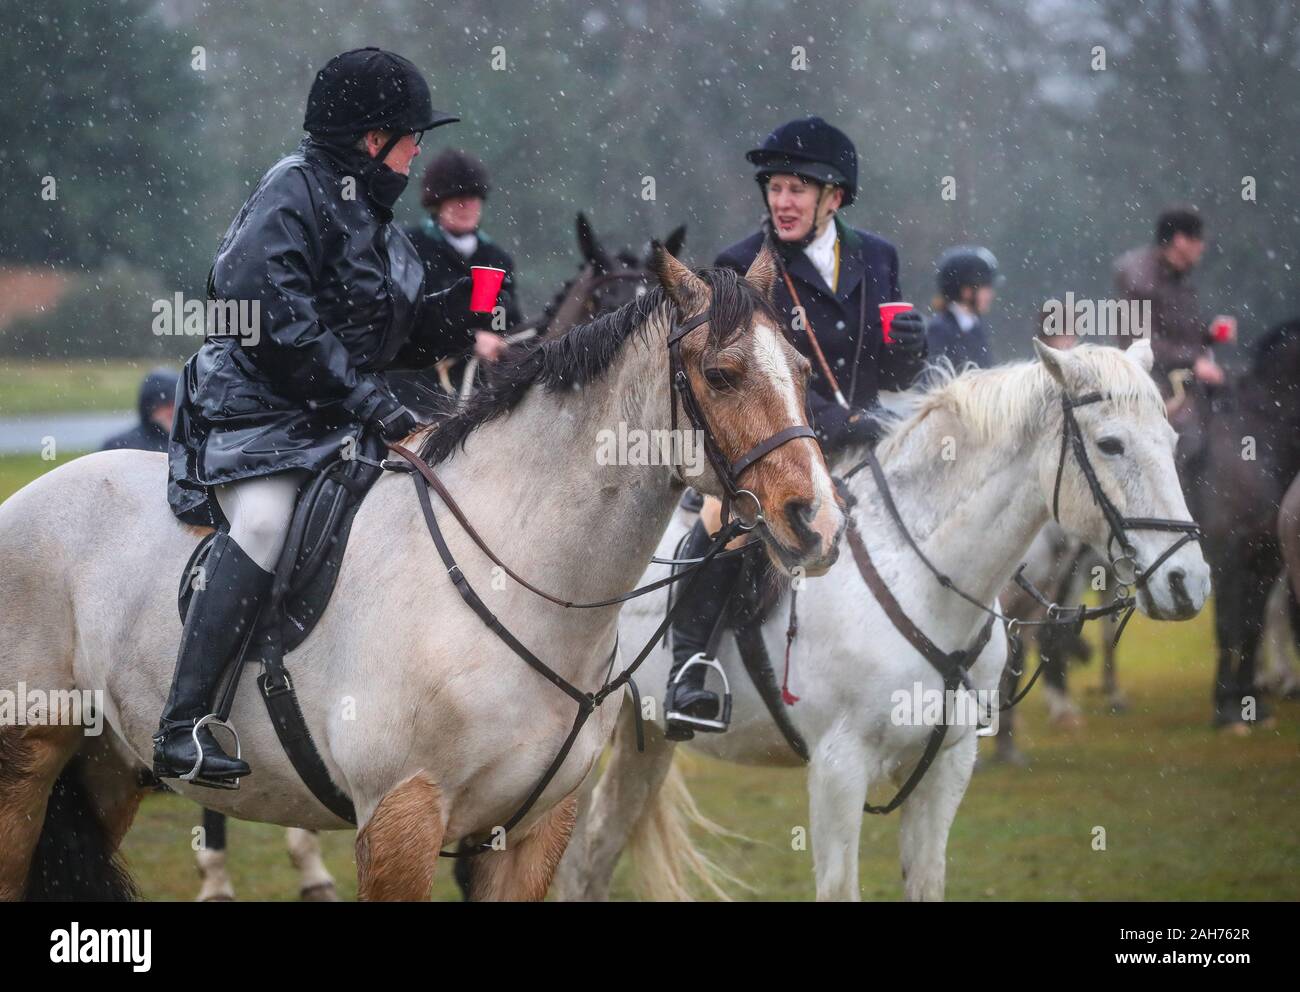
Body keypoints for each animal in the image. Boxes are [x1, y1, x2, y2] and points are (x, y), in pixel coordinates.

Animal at [0, 244, 842, 904]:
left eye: (803, 369)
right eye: (722, 373)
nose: (819, 524)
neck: (521, 581)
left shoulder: (530, 833)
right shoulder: (400, 818)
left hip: (107, 769)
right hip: (27, 764)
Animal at [553, 340, 1211, 899]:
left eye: (1172, 439)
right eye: (1111, 445)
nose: (1189, 583)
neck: (922, 580)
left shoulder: (946, 768)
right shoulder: (838, 771)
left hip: (645, 737)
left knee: (590, 859)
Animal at [1180, 318, 1300, 728]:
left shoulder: (1267, 556)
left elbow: (1253, 624)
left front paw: (1252, 703)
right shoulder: (1225, 555)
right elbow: (1228, 625)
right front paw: (1224, 707)